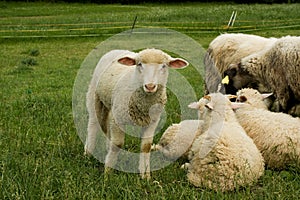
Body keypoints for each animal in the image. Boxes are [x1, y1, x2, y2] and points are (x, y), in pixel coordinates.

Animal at [84, 48, 188, 180]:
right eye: (139, 64)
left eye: (164, 66)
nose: (150, 86)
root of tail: (115, 50)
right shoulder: (118, 119)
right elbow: (117, 144)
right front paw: (108, 173)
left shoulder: (152, 121)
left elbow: (146, 147)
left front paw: (145, 175)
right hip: (95, 96)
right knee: (93, 123)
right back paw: (88, 152)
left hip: (110, 105)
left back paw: (106, 148)